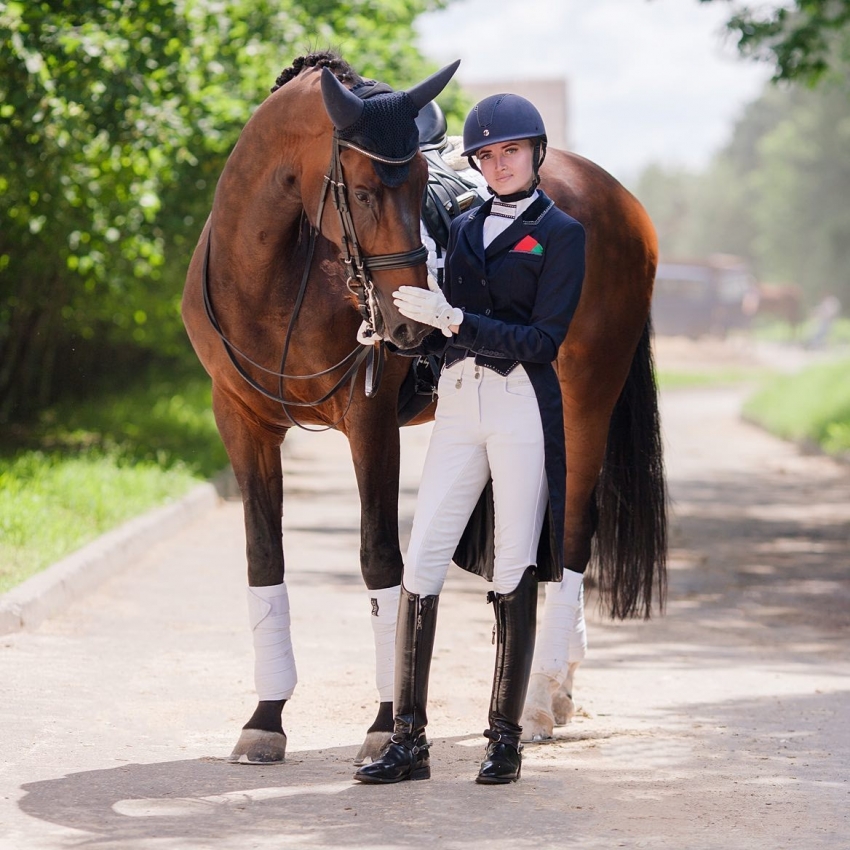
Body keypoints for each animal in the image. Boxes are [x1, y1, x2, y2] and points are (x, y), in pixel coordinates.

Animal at [182, 54, 664, 768]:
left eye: (417, 185)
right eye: (360, 192)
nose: (407, 326)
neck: (272, 274)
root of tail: (618, 197)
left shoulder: (371, 422)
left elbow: (382, 560)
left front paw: (387, 723)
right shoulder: (240, 421)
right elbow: (264, 558)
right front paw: (266, 718)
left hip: (586, 397)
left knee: (575, 530)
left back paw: (539, 699)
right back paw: (556, 686)